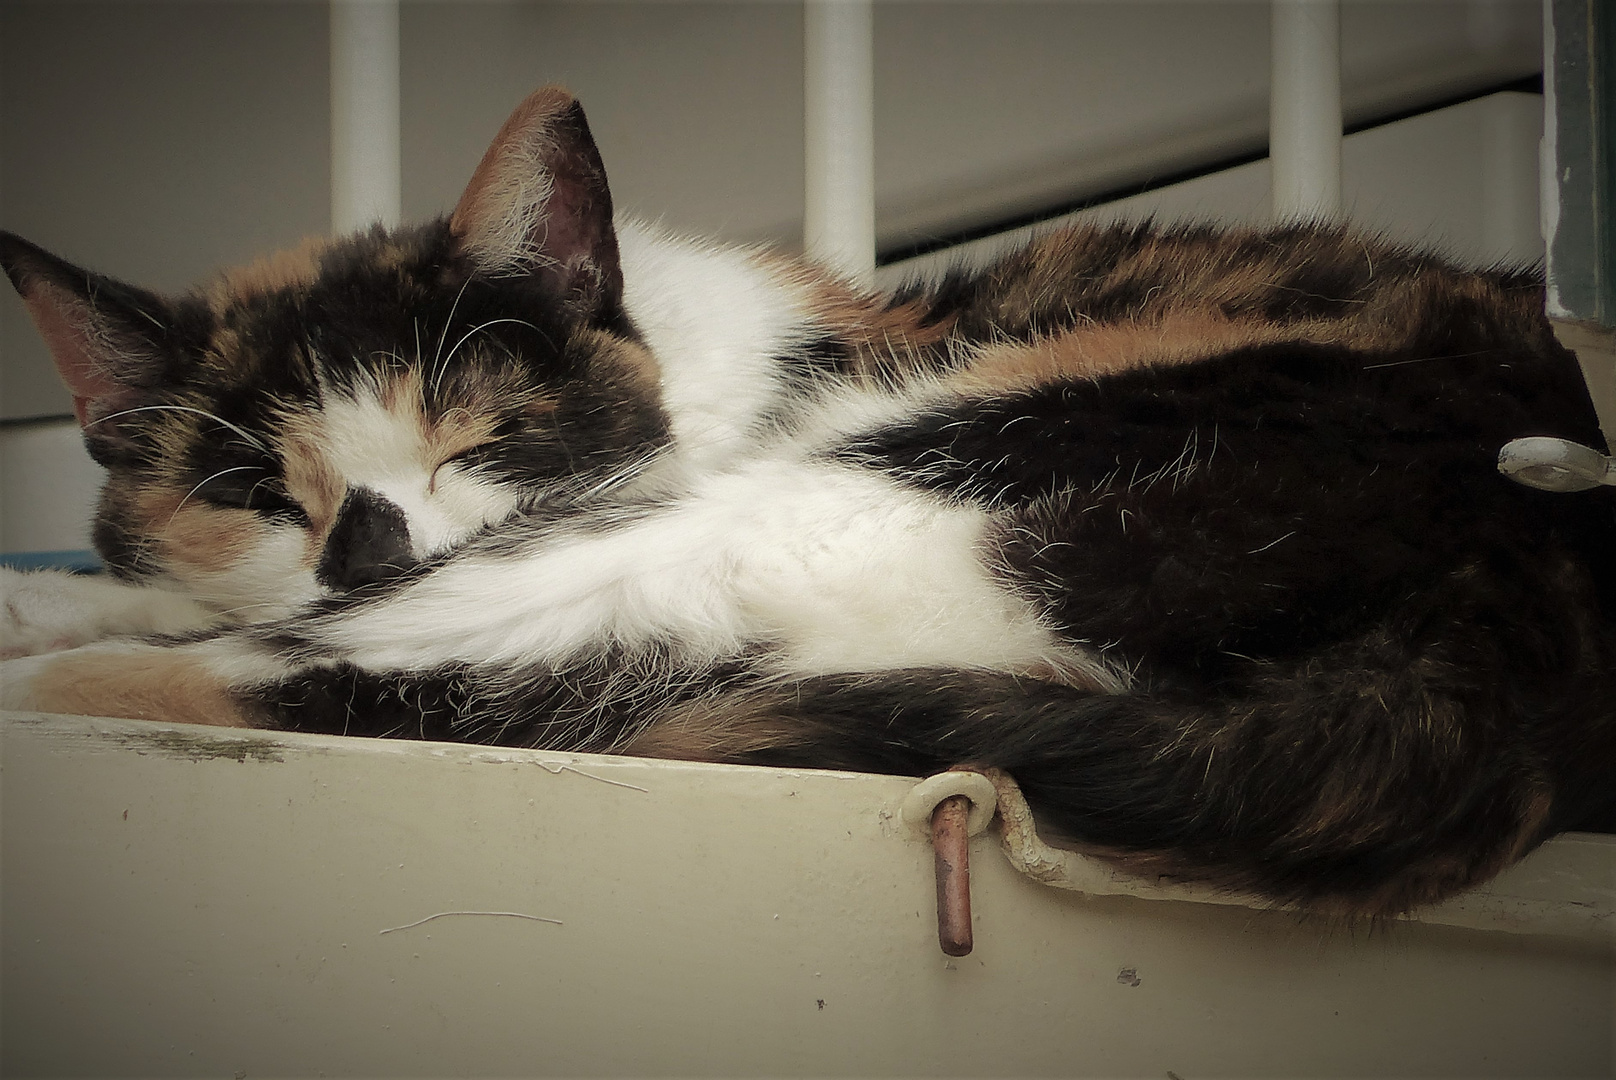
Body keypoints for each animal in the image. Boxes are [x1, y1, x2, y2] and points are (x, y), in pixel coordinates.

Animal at [3, 88, 1616, 918]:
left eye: (483, 439)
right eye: (255, 495)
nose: (364, 547)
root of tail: (1517, 623)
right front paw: (52, 590)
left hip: (883, 480)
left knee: (335, 677)